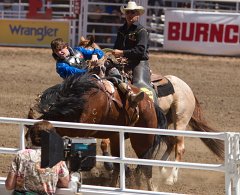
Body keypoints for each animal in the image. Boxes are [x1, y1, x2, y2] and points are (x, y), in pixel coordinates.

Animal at [27, 73, 167, 190]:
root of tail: (150, 104)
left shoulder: (82, 133)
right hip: (116, 137)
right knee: (118, 164)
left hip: (142, 140)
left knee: (146, 167)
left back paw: (150, 189)